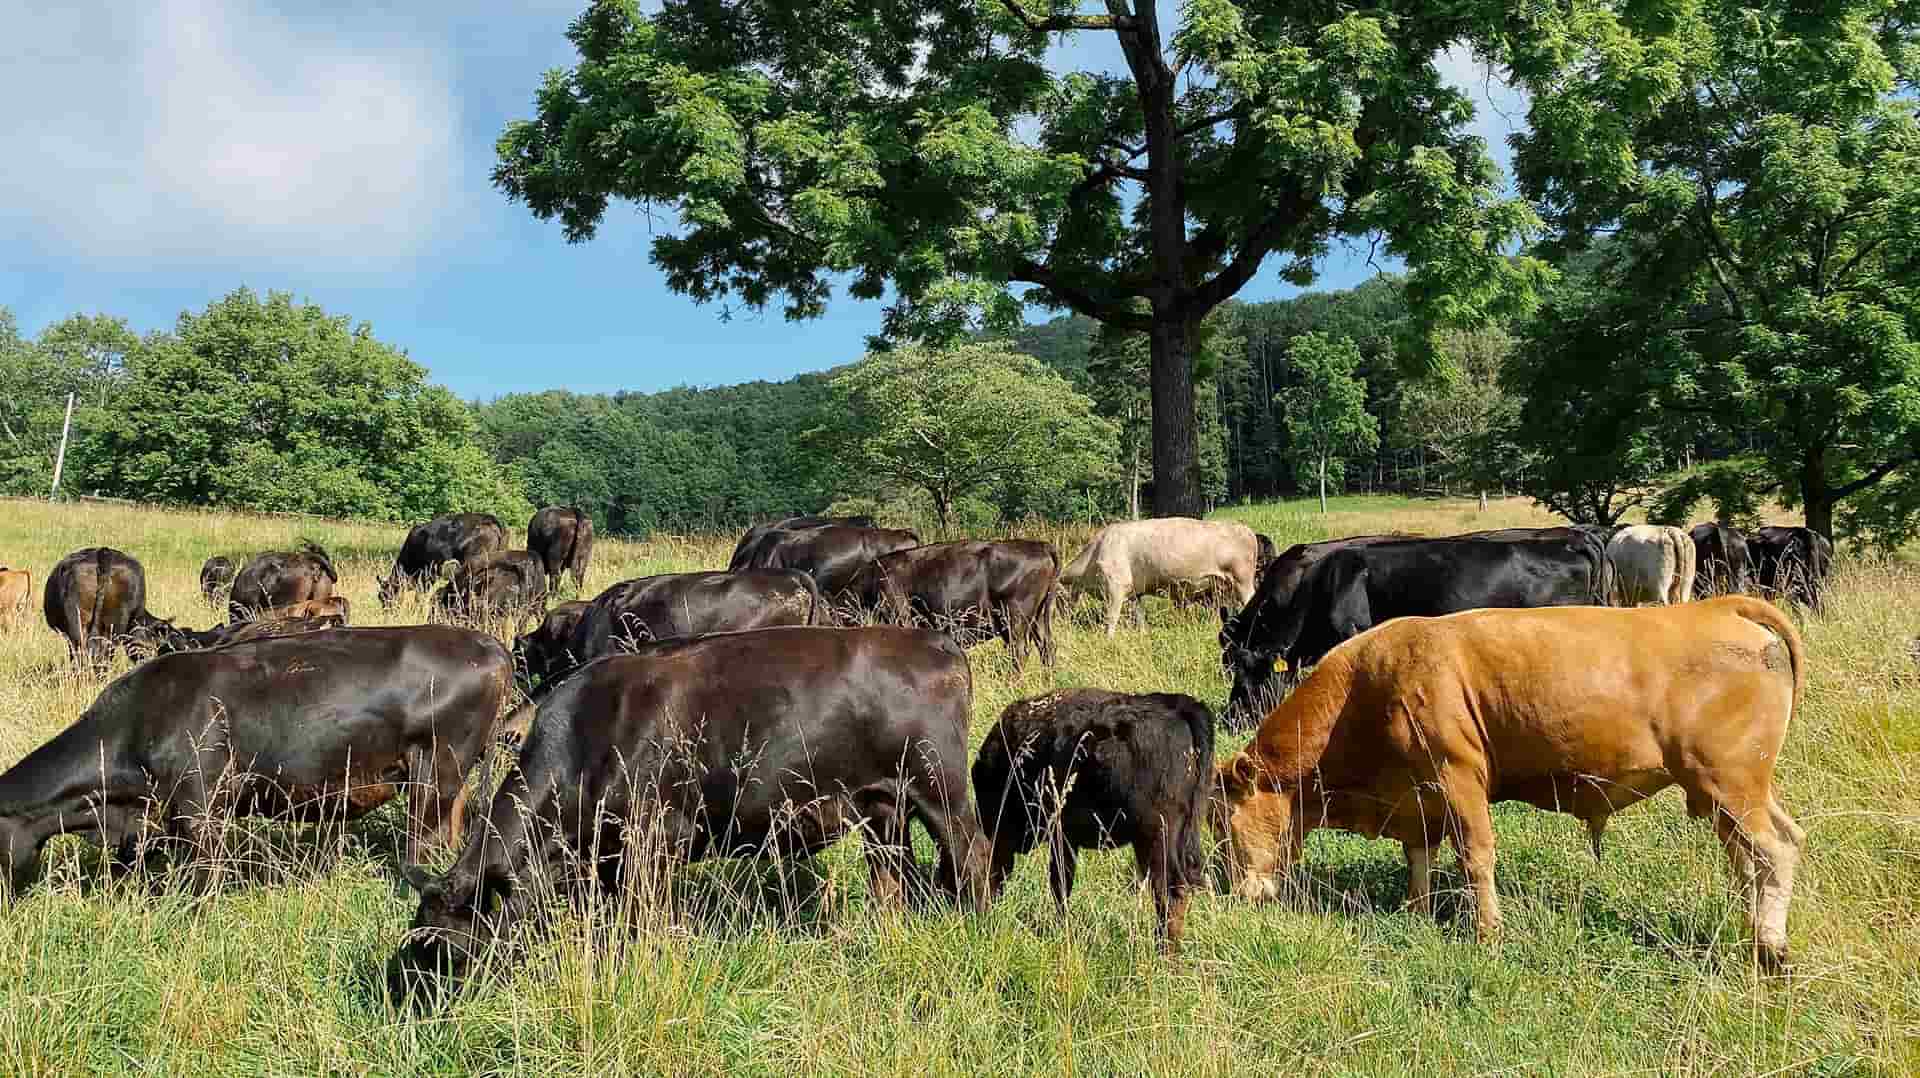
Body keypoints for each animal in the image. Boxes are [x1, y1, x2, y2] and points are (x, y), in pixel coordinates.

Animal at [385, 626, 991, 1005]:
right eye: (413, 938)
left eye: (449, 951)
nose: (414, 1009)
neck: (589, 735)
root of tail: (933, 642)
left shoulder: (654, 840)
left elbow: (641, 922)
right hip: (882, 809)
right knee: (893, 879)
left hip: (941, 791)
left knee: (972, 858)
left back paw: (974, 928)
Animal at [845, 540, 1060, 668]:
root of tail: (1040, 545)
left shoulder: (900, 617)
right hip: (1038, 617)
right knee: (1046, 646)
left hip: (1015, 618)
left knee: (1020, 652)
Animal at [972, 690, 1213, 950]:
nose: (985, 910)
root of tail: (1179, 707)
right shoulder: (1066, 839)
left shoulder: (1059, 837)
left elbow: (1059, 884)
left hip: (1155, 838)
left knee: (1170, 892)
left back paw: (1163, 949)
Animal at [1060, 518, 1261, 637]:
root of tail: (1244, 528)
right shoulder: (1134, 593)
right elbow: (1140, 616)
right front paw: (1144, 635)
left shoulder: (1116, 586)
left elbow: (1111, 618)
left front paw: (1108, 640)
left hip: (1242, 581)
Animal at [1213, 597, 1806, 972]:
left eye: (1223, 824)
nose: (1234, 892)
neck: (1364, 688)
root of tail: (1720, 605)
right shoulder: (1417, 795)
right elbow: (1419, 857)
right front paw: (1416, 914)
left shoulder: (1458, 776)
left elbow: (1475, 857)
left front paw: (1488, 935)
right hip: (1732, 791)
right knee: (1761, 852)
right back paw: (1752, 931)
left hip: (1729, 780)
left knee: (1772, 850)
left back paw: (1771, 950)